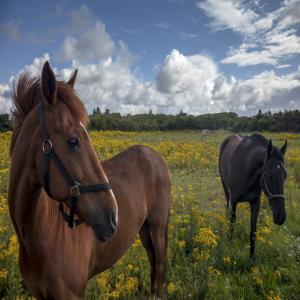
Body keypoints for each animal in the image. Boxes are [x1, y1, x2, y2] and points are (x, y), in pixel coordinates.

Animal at [8, 61, 171, 300]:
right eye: (73, 141)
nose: (113, 216)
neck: (40, 237)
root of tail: (155, 155)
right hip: (145, 229)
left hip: (157, 228)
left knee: (158, 268)